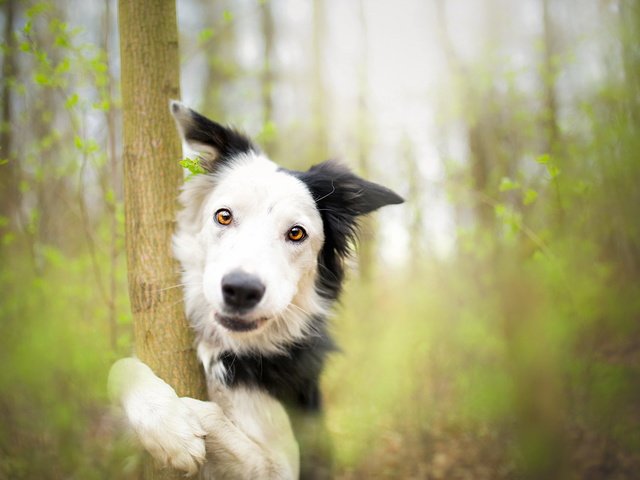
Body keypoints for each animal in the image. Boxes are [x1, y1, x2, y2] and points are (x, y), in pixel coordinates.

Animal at [107, 99, 402, 478]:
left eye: (296, 233)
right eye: (224, 216)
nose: (241, 290)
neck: (229, 349)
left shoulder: (284, 464)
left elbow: (210, 412)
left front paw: (179, 428)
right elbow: (119, 367)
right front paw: (166, 423)